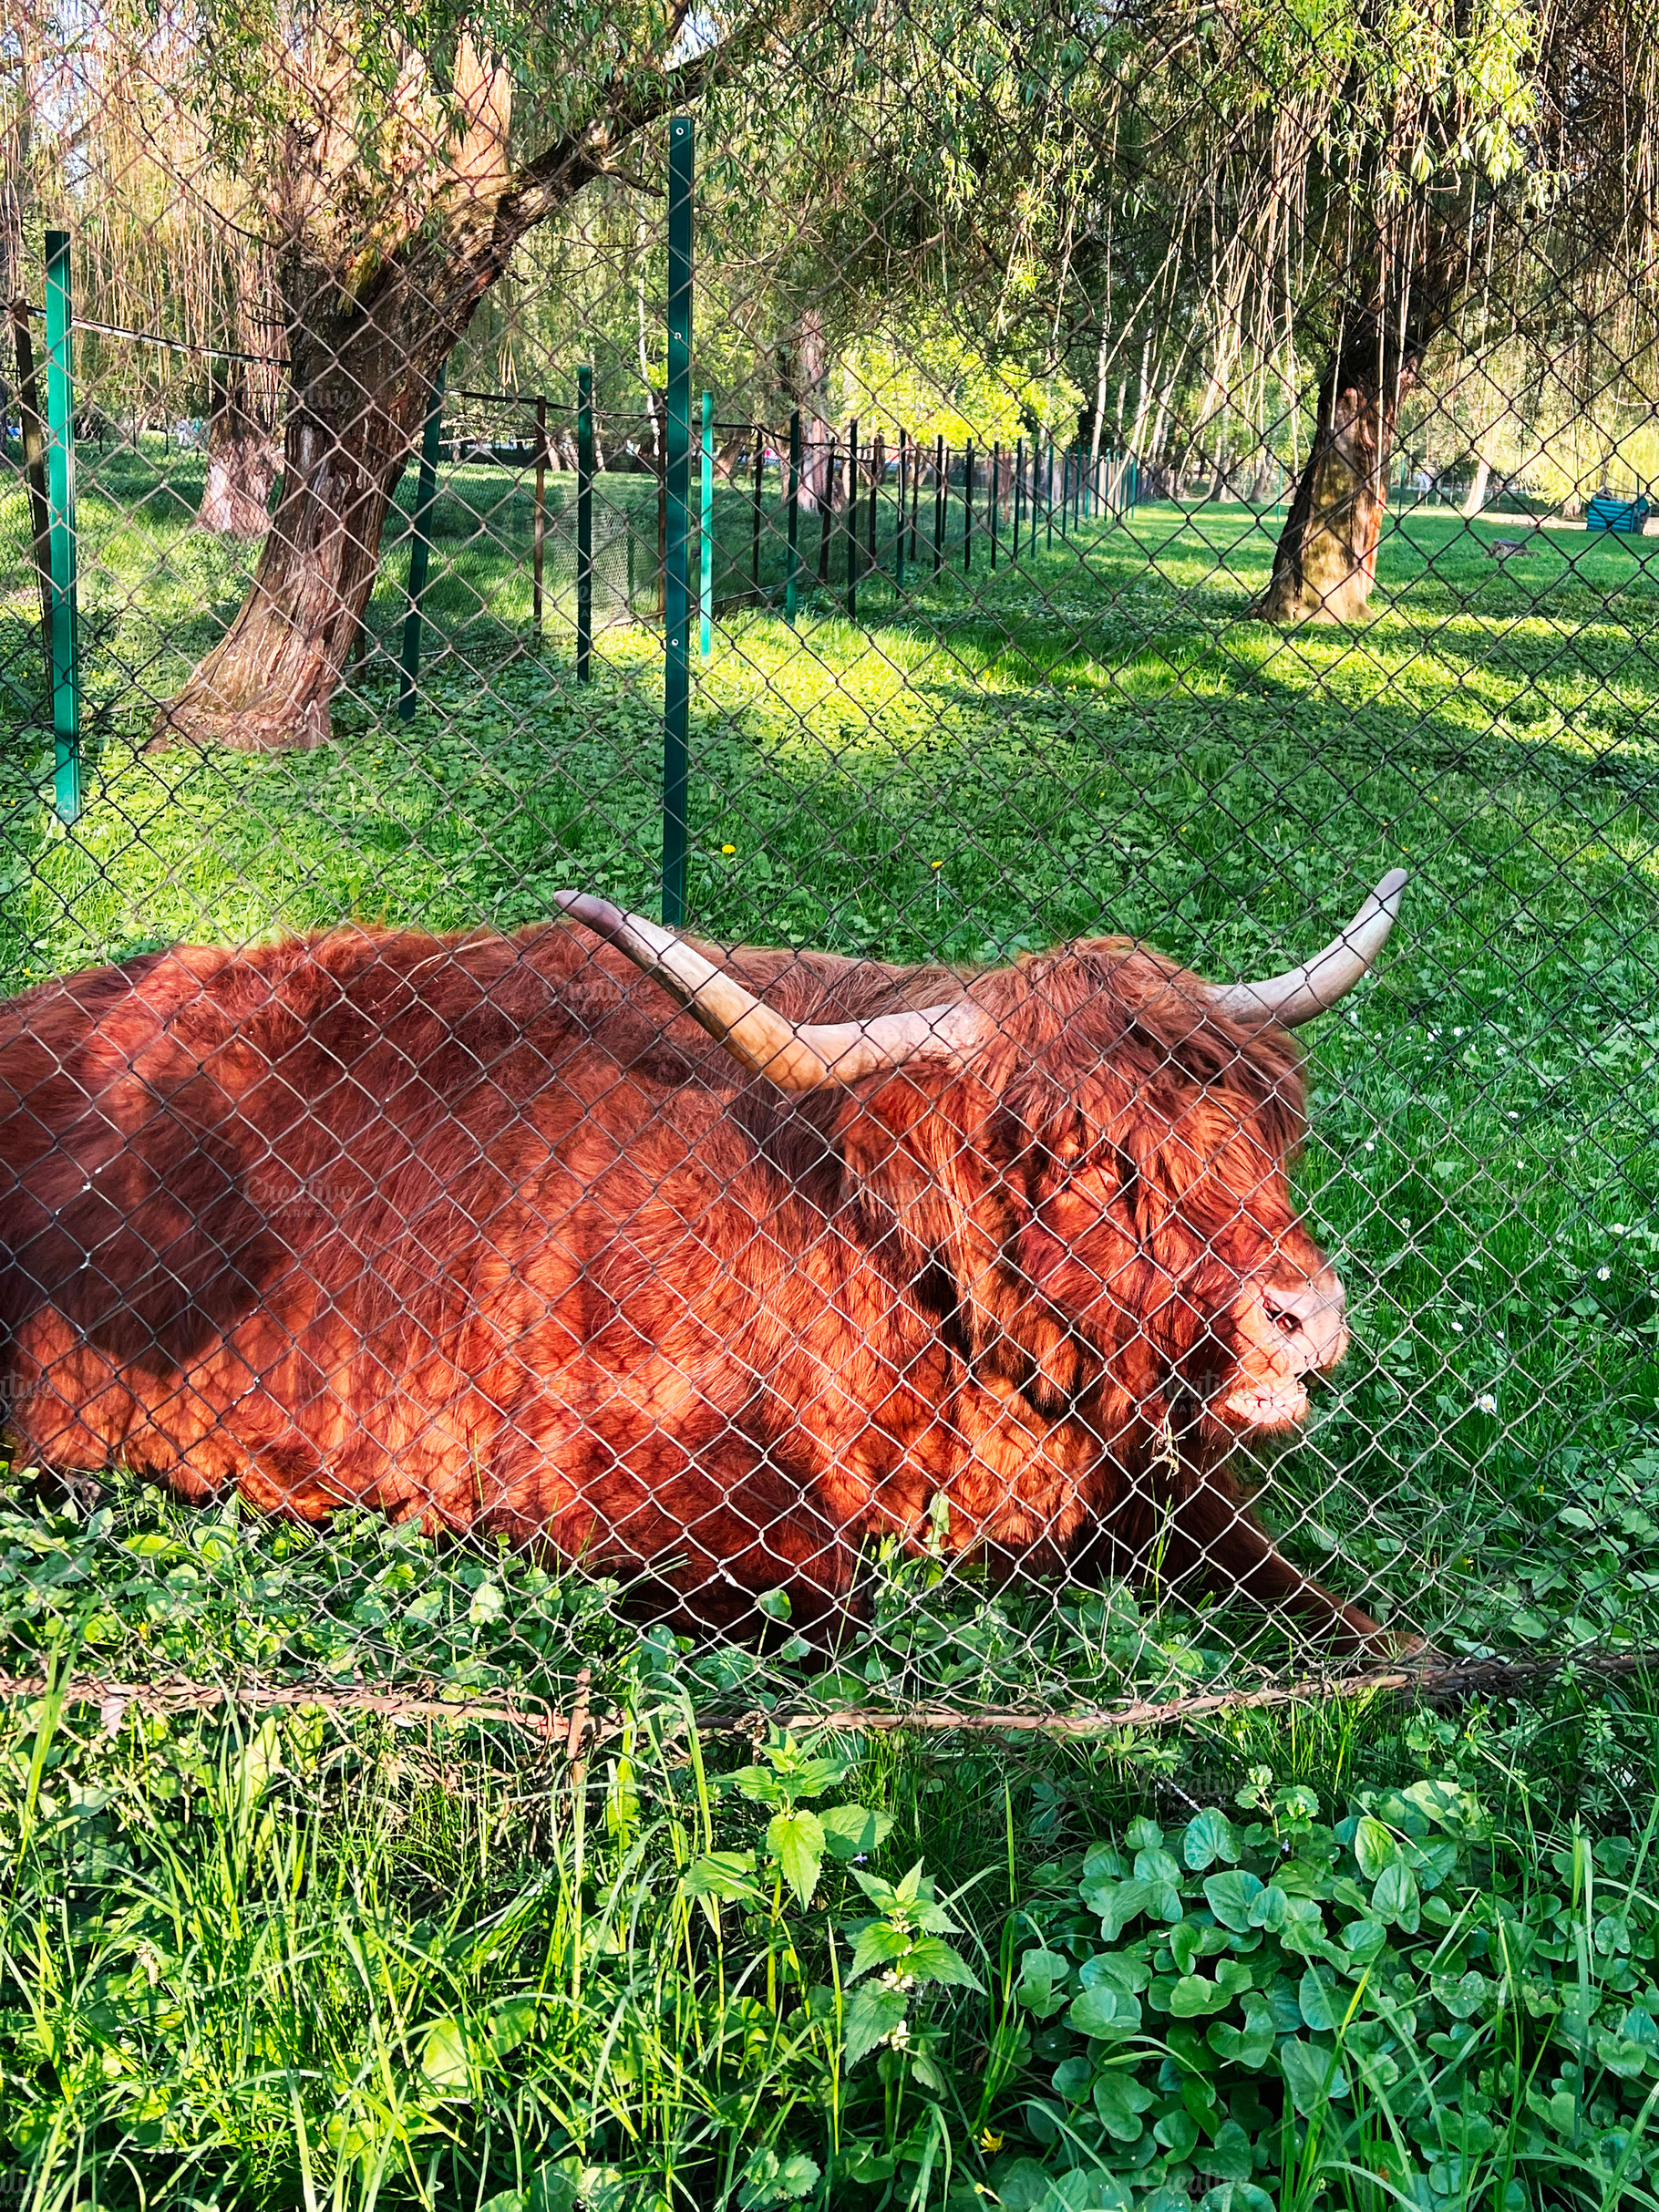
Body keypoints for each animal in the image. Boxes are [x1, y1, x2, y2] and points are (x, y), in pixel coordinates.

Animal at [0, 870, 1409, 1653]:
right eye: (1081, 1160)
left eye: (1253, 1134)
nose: (1305, 1311)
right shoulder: (623, 1486)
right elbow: (832, 1610)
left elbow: (1333, 1606)